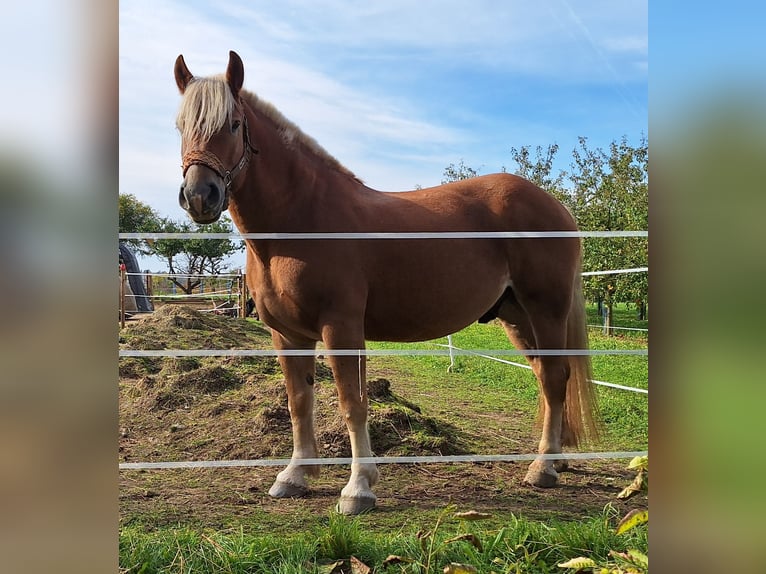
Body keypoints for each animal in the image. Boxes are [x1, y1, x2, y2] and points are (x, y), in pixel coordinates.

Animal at [173, 51, 599, 515]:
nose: (199, 196)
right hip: (515, 316)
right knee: (544, 377)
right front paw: (295, 476)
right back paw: (553, 459)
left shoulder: (341, 328)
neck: (299, 221)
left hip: (546, 310)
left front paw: (358, 488)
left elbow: (352, 403)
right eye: (180, 125)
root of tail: (556, 206)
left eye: (233, 124)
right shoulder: (286, 334)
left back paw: (544, 469)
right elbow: (299, 402)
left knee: (556, 378)